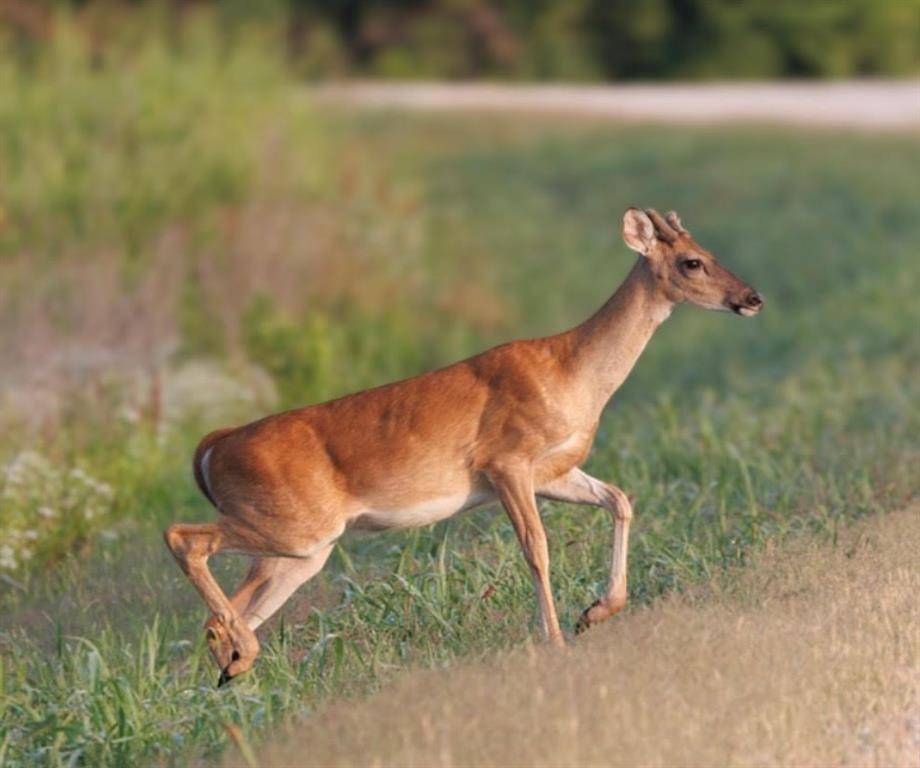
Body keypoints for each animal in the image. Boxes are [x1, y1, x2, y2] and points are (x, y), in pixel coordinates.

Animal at [164, 206, 760, 684]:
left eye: (709, 252)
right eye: (691, 262)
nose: (751, 298)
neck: (574, 374)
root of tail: (212, 446)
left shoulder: (552, 470)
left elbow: (619, 499)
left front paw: (595, 611)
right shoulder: (505, 461)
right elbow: (537, 548)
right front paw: (555, 639)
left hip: (301, 548)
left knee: (226, 608)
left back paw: (232, 665)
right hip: (290, 524)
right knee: (183, 538)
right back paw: (240, 655)